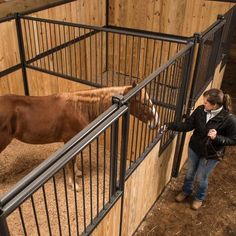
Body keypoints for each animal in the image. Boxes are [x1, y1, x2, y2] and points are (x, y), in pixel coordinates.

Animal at [0, 83, 159, 188]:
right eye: (145, 102)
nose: (156, 122)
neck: (79, 108)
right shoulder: (69, 141)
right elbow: (71, 162)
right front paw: (74, 184)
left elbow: (74, 161)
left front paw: (77, 173)